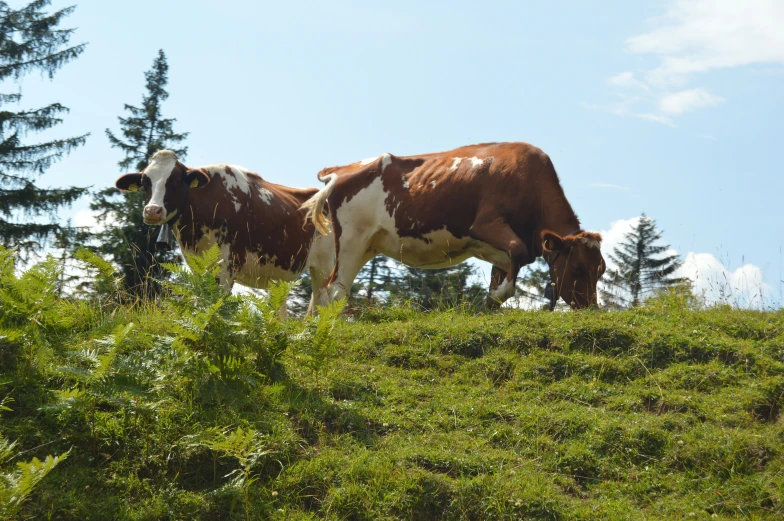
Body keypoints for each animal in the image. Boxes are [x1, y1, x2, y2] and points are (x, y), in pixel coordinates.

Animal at [116, 148, 334, 314]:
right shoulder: (197, 264)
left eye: (177, 180)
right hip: (280, 278)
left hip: (324, 269)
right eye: (145, 182)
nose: (152, 210)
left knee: (324, 307)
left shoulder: (228, 263)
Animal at [302, 141, 608, 308]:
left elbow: (507, 267)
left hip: (366, 245)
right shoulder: (486, 224)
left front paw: (491, 301)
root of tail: (341, 170)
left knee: (327, 292)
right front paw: (495, 297)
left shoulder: (499, 251)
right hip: (352, 241)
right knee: (334, 291)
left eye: (601, 270)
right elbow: (519, 254)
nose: (590, 308)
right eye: (577, 268)